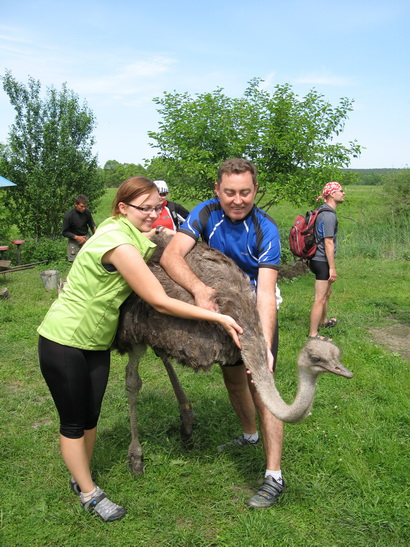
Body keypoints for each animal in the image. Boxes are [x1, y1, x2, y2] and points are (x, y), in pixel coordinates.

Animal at [113, 232, 353, 476]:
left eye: (337, 355)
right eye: (317, 358)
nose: (345, 372)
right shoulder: (139, 336)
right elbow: (133, 381)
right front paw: (136, 457)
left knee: (161, 356)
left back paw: (187, 421)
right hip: (133, 330)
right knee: (133, 378)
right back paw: (137, 456)